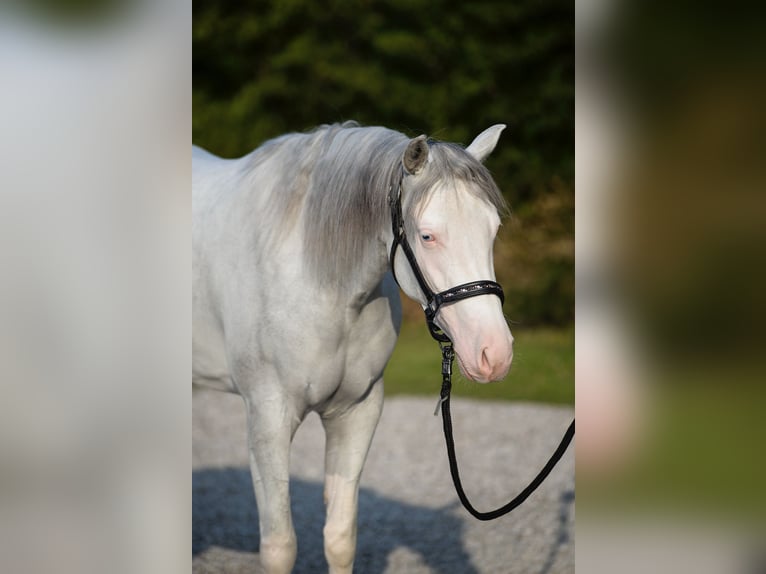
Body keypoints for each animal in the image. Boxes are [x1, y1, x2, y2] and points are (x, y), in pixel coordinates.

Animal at [192, 122, 514, 574]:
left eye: (492, 230)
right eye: (428, 235)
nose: (494, 353)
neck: (316, 278)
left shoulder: (357, 412)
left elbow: (340, 538)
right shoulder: (267, 418)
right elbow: (280, 547)